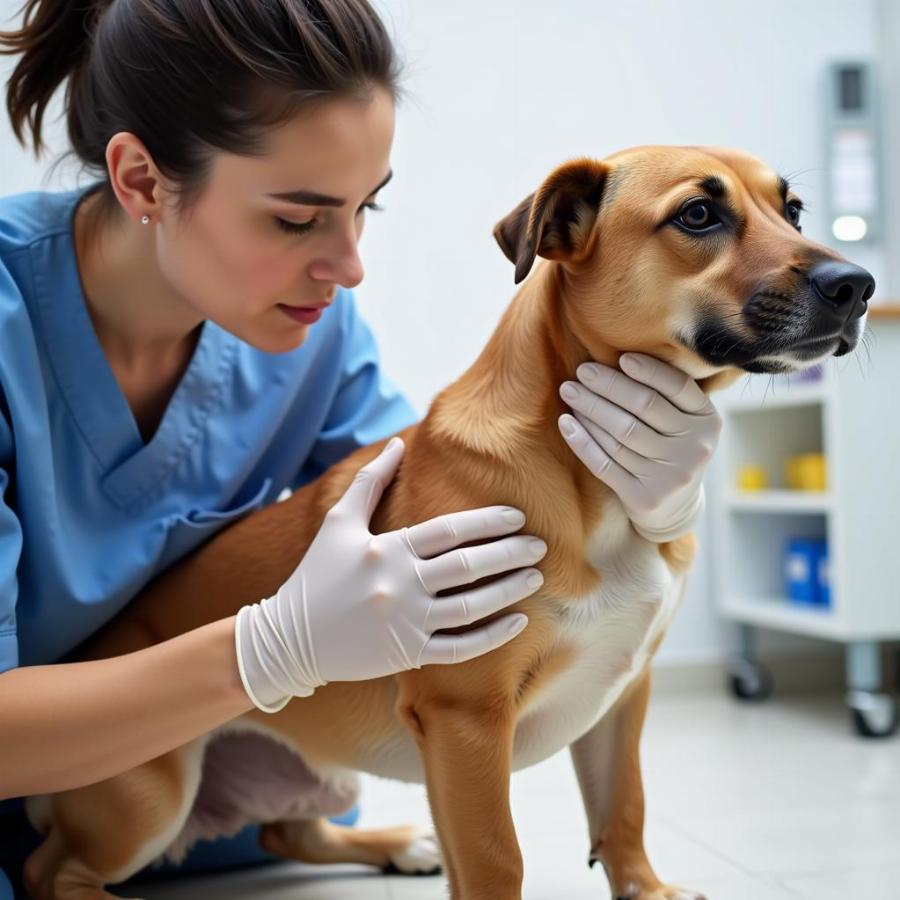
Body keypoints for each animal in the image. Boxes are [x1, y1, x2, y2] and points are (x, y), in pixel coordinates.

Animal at [22, 148, 872, 900]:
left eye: (793, 209)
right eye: (698, 214)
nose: (859, 284)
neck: (585, 478)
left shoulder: (623, 693)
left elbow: (623, 809)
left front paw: (646, 890)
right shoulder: (467, 718)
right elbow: (496, 858)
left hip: (322, 780)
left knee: (286, 830)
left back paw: (400, 844)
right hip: (149, 799)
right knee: (49, 871)